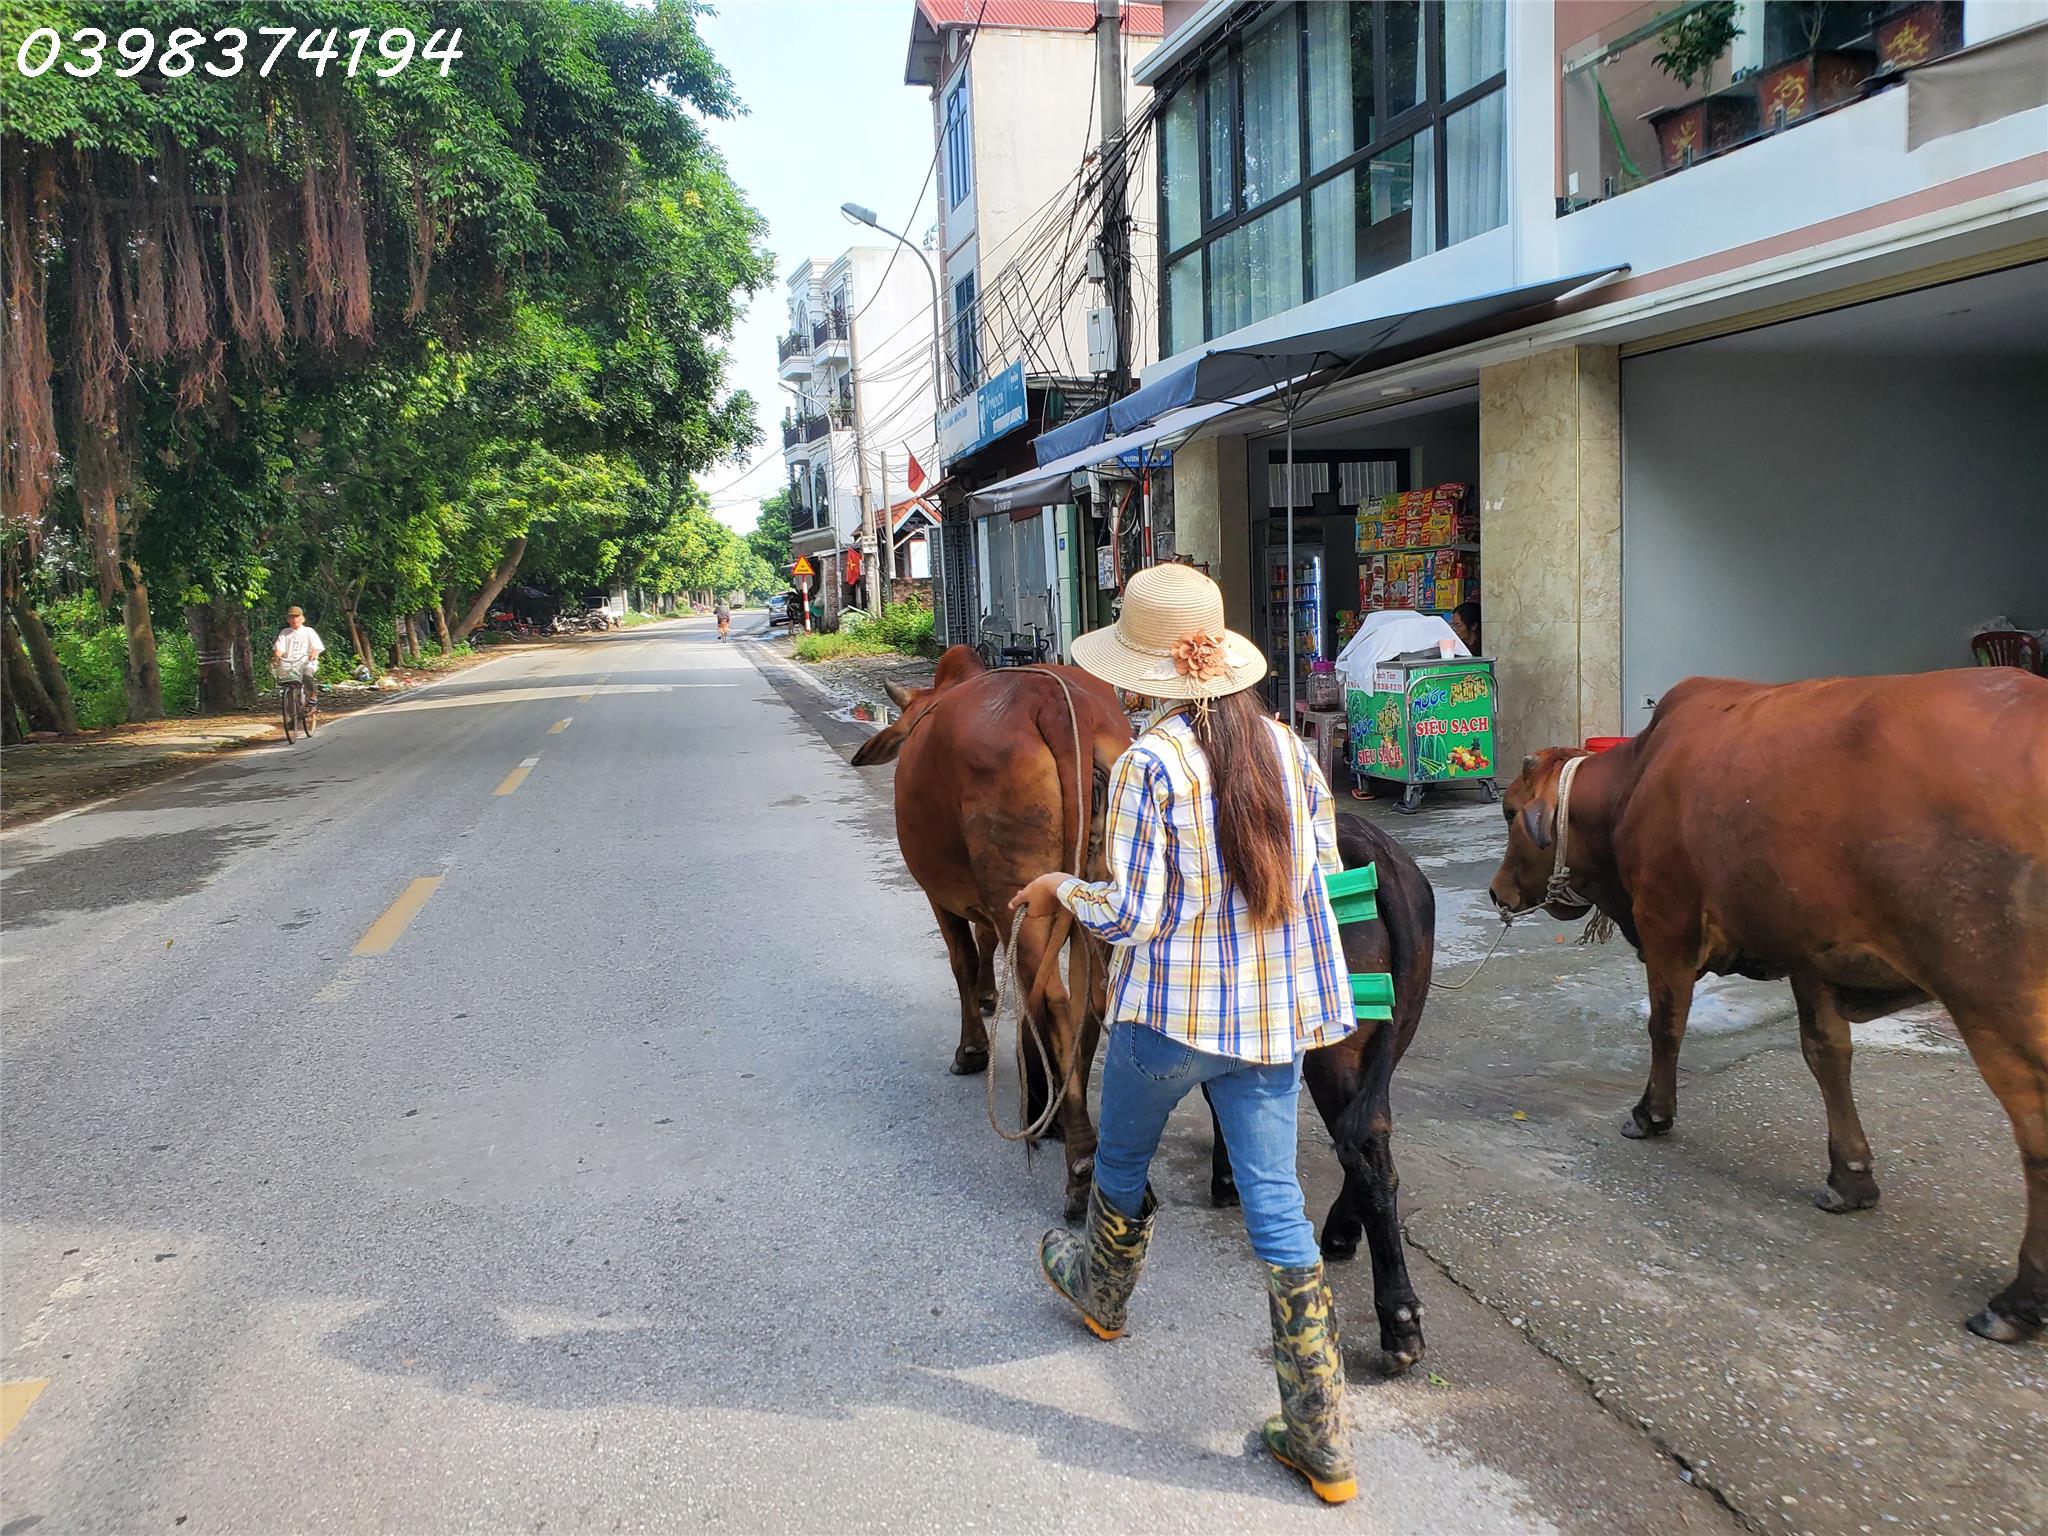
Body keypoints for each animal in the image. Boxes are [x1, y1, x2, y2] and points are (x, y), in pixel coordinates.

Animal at [1487, 669, 2048, 1343]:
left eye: (1510, 811)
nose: (1495, 891)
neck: (1635, 782)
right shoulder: (1811, 953)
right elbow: (1827, 1054)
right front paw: (1849, 1177)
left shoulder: (1667, 923)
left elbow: (1664, 1026)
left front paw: (1651, 1114)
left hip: (1992, 1001)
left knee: (2037, 1134)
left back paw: (2020, 1299)